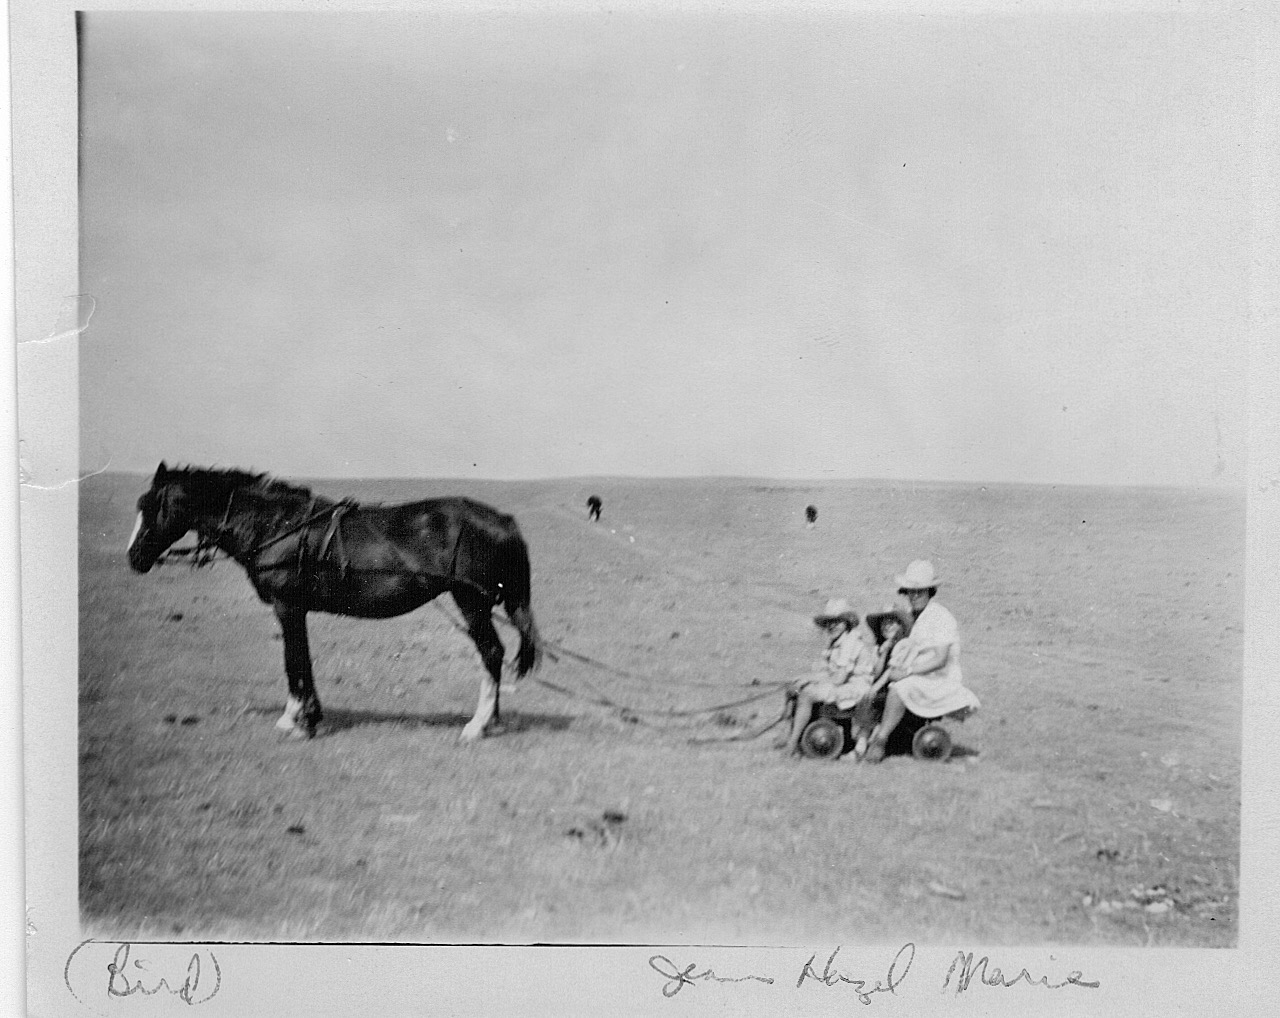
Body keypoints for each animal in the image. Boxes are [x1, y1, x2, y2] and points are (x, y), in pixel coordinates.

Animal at [126, 462, 543, 741]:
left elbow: (293, 660)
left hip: (471, 601)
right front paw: (307, 716)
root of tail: (503, 520)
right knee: (493, 653)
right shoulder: (296, 609)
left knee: (491, 652)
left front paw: (298, 721)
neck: (276, 525)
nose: (133, 557)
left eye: (151, 505)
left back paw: (477, 724)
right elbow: (303, 660)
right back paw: (492, 720)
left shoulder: (287, 606)